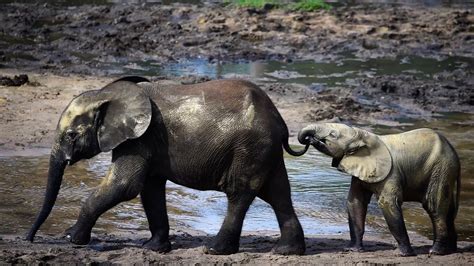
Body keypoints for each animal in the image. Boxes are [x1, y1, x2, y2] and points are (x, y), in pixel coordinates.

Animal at [25, 77, 310, 256]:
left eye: (71, 135)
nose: (28, 238)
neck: (109, 94)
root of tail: (280, 121)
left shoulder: (139, 139)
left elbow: (124, 186)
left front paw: (71, 239)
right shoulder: (147, 142)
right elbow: (149, 190)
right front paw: (153, 248)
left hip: (249, 148)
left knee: (239, 193)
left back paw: (214, 250)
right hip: (264, 151)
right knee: (278, 193)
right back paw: (287, 252)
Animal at [300, 123, 460, 256]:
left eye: (333, 135)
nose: (310, 139)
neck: (363, 134)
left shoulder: (392, 172)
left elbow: (388, 203)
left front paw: (404, 254)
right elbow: (355, 202)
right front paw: (353, 250)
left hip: (441, 167)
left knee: (434, 206)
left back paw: (436, 252)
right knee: (449, 209)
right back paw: (450, 250)